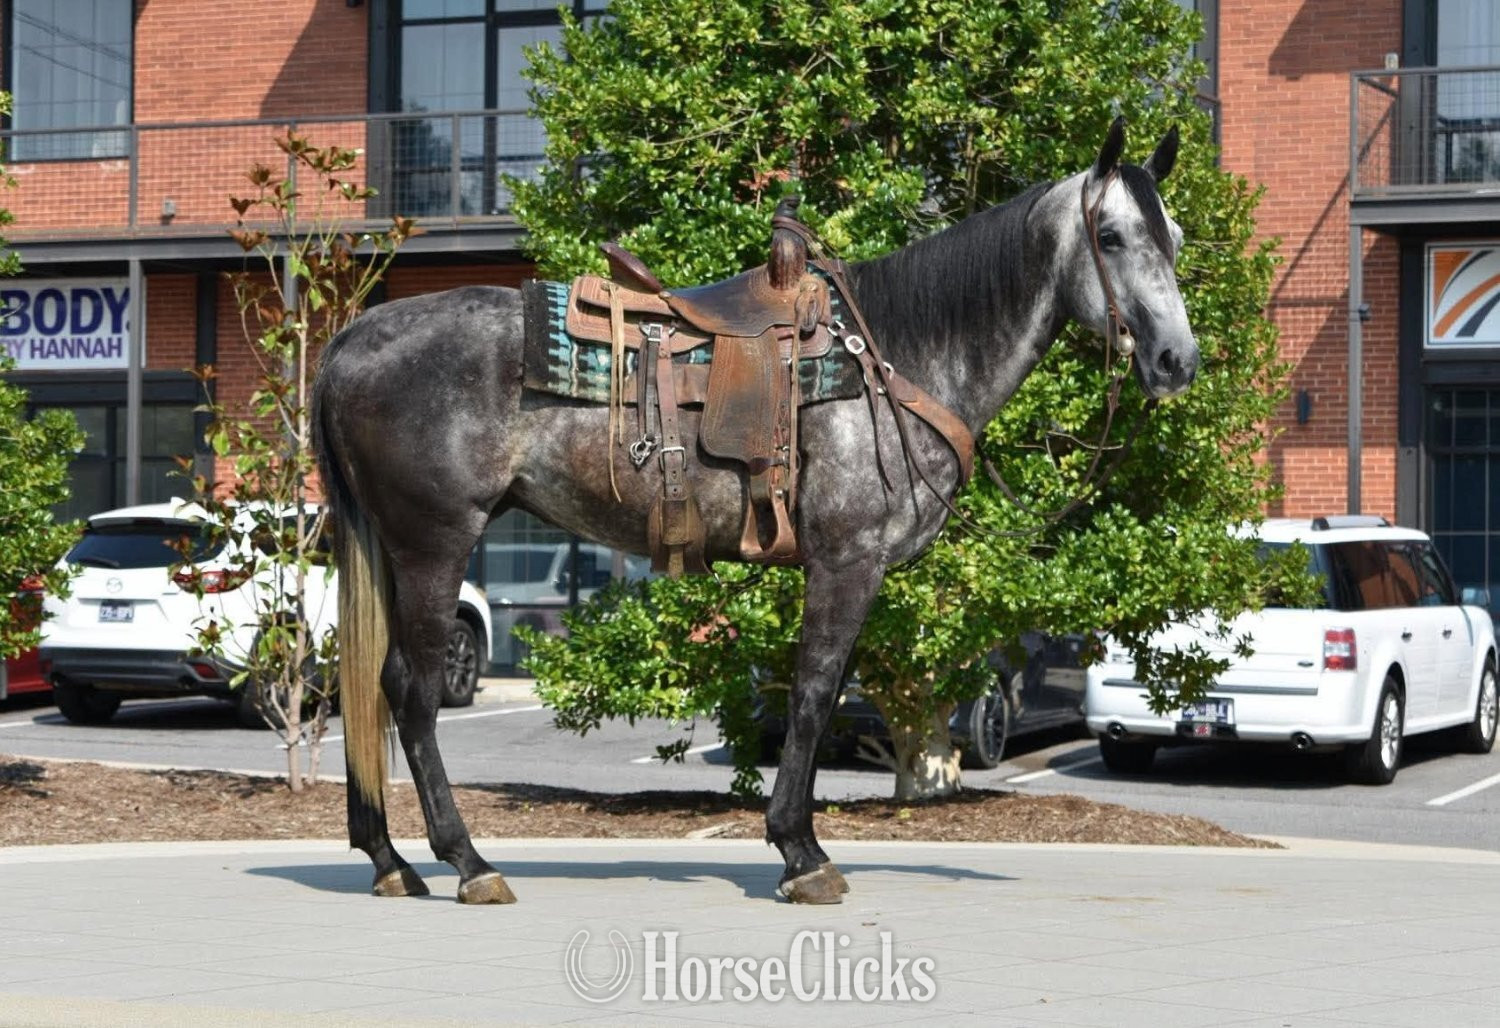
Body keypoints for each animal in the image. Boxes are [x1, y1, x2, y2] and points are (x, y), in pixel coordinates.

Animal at [313, 116, 1199, 905]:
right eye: (1111, 237)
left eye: (1177, 239)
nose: (1176, 361)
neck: (894, 361)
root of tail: (354, 339)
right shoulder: (847, 562)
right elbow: (812, 693)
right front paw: (802, 854)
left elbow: (825, 695)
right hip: (433, 542)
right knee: (411, 691)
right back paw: (467, 863)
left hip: (393, 547)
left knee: (373, 687)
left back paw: (390, 861)